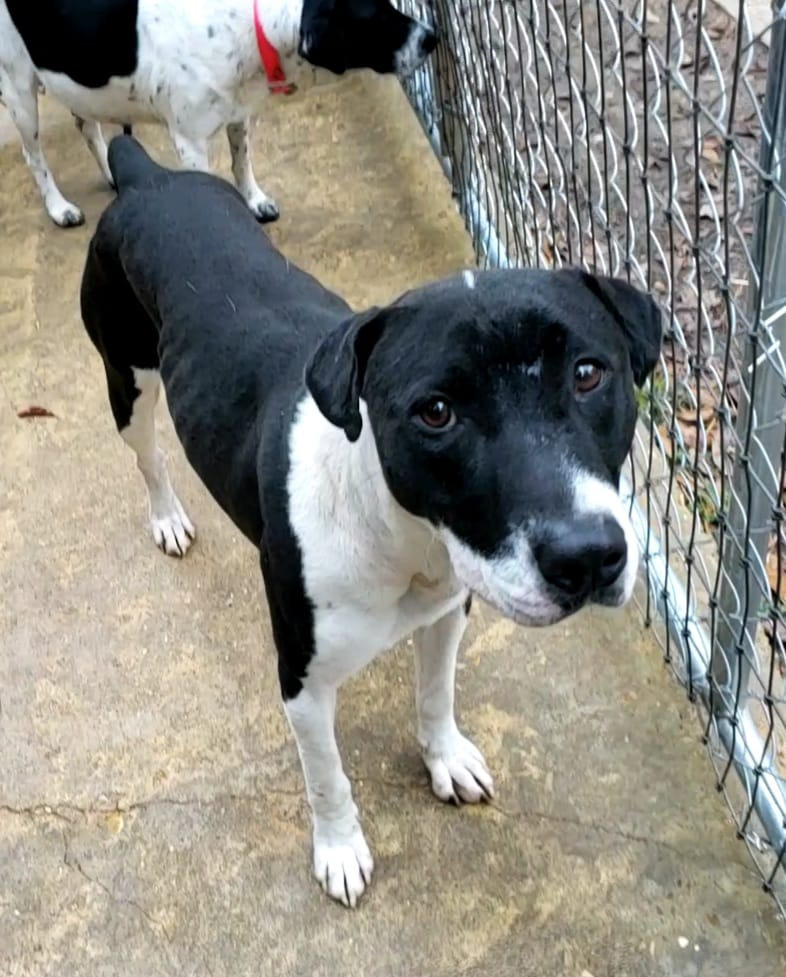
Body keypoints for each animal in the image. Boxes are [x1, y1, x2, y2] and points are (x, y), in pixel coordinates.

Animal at [0, 0, 434, 225]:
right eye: (373, 18)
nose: (433, 38)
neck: (251, 27)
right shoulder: (190, 143)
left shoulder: (239, 116)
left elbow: (242, 163)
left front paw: (255, 200)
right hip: (20, 91)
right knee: (34, 156)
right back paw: (59, 207)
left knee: (86, 123)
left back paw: (110, 170)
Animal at [79, 137, 660, 908]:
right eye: (435, 412)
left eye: (590, 373)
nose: (588, 557)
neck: (405, 540)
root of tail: (149, 177)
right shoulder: (302, 680)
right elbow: (327, 777)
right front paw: (339, 849)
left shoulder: (448, 608)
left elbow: (436, 694)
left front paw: (446, 758)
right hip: (128, 379)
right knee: (146, 457)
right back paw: (169, 517)